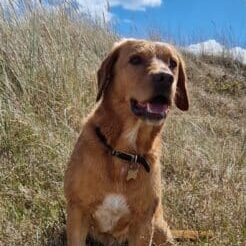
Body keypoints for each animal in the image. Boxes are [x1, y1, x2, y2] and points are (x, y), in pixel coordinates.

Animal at [64, 39, 189, 245]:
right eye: (135, 59)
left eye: (173, 63)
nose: (165, 78)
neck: (126, 153)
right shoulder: (77, 211)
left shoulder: (144, 225)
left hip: (160, 229)